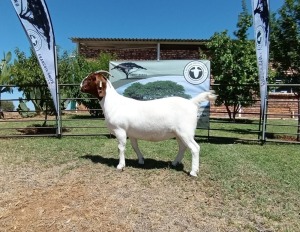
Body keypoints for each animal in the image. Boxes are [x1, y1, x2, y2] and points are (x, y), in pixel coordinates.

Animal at [79, 70, 216, 176]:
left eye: (90, 78)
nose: (80, 85)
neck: (113, 103)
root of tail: (192, 102)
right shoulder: (131, 133)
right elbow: (135, 147)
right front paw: (141, 160)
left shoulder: (120, 130)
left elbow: (121, 148)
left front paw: (120, 166)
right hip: (179, 133)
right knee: (183, 147)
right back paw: (174, 163)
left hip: (185, 132)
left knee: (195, 148)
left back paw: (193, 172)